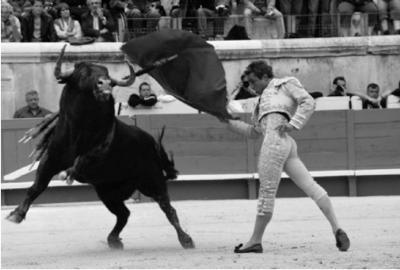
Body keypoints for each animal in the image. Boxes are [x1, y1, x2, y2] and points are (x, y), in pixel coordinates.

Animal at [5, 45, 194, 250]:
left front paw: (67, 174)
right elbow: (36, 187)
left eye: (107, 73)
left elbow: (80, 161)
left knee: (167, 208)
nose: (105, 85)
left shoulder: (96, 153)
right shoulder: (50, 160)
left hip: (151, 180)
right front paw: (16, 214)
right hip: (107, 192)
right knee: (124, 214)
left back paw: (186, 239)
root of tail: (151, 143)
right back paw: (113, 240)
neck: (79, 128)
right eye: (83, 73)